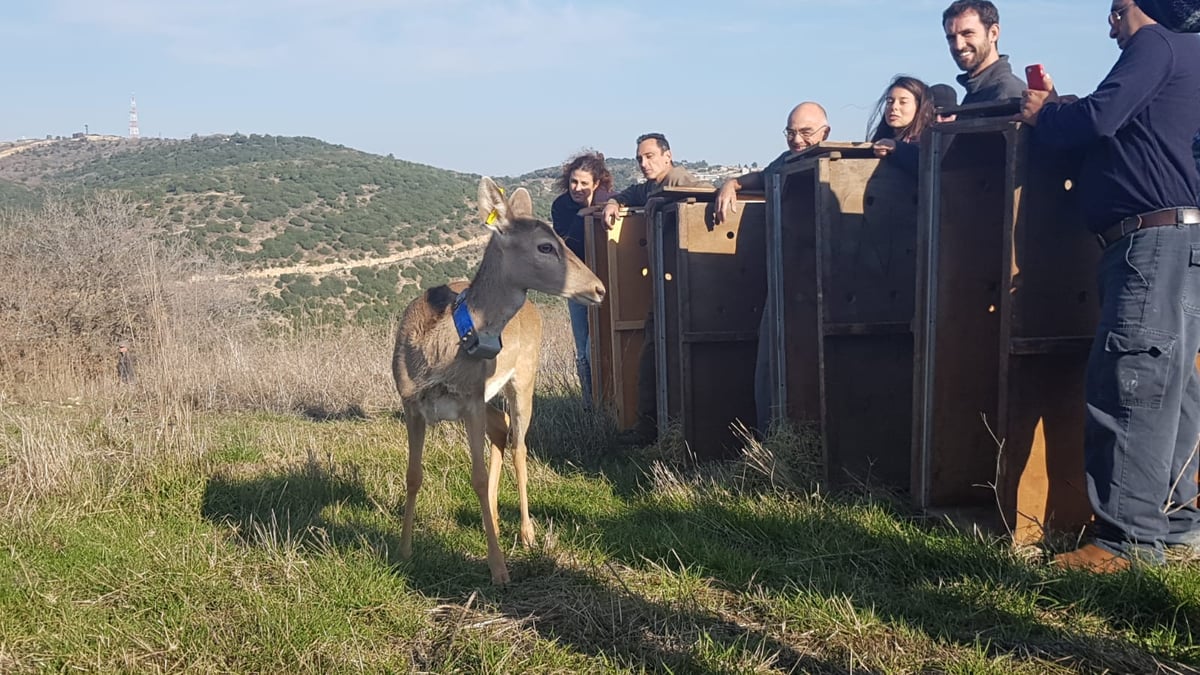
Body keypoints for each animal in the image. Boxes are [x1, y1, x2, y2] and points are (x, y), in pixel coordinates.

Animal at [393, 176, 604, 581]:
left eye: (563, 238)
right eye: (545, 245)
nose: (599, 288)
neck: (437, 352)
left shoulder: (471, 399)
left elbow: (474, 476)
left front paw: (499, 569)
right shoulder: (412, 402)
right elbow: (413, 474)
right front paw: (404, 552)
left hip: (524, 376)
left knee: (519, 443)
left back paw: (526, 533)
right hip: (491, 394)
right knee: (501, 429)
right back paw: (490, 513)